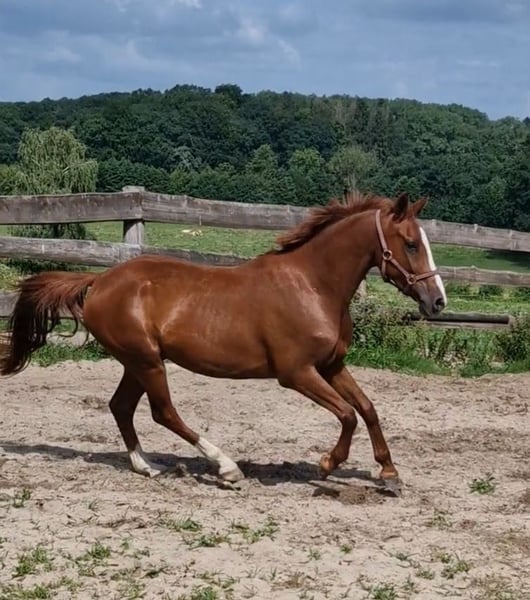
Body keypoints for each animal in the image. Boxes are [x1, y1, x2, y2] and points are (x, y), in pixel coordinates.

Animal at [0, 192, 446, 494]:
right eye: (410, 243)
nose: (438, 301)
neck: (313, 286)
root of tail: (98, 281)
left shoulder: (332, 365)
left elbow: (368, 409)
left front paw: (389, 474)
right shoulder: (296, 373)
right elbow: (348, 415)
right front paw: (326, 464)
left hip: (137, 362)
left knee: (121, 407)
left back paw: (147, 466)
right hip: (147, 362)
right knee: (163, 412)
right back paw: (227, 468)